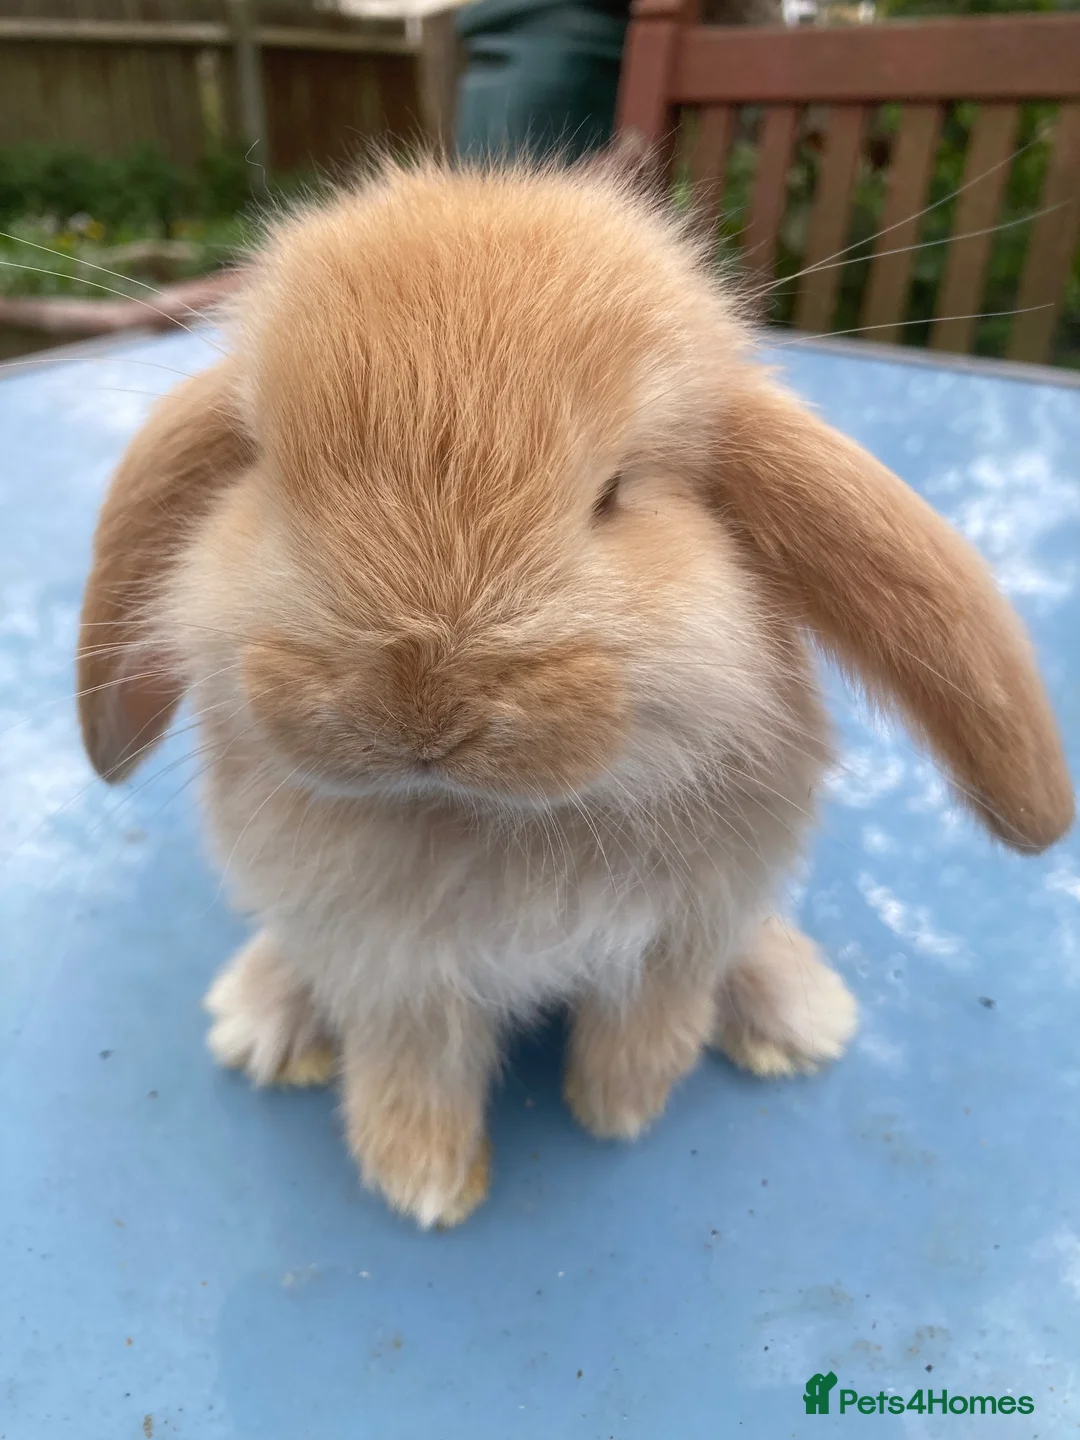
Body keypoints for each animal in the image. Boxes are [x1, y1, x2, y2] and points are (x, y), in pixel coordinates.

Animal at [76, 158, 1073, 1228]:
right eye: (270, 472)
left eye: (614, 493)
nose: (420, 704)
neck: (479, 819)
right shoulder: (390, 972)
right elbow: (413, 1070)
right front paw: (426, 1184)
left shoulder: (683, 932)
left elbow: (648, 1024)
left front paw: (615, 1110)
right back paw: (262, 1013)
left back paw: (797, 1014)